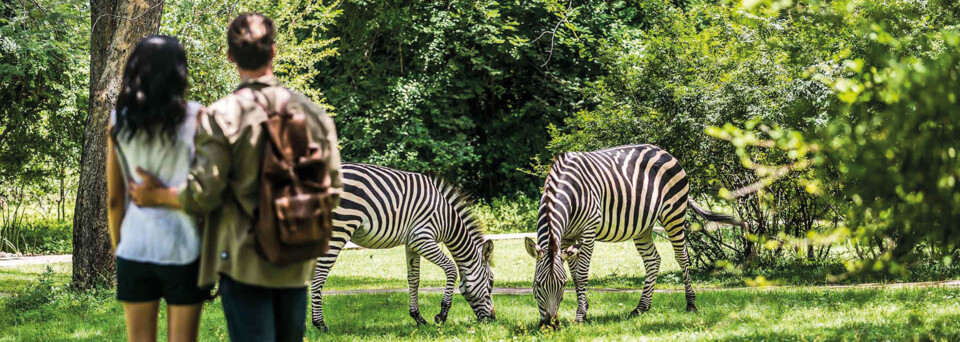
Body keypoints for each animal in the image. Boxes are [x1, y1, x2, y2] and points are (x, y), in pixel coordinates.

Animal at [314, 163, 496, 332]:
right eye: (491, 282)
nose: (493, 319)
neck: (448, 221)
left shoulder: (412, 244)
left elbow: (414, 278)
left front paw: (418, 318)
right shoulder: (422, 239)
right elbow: (451, 268)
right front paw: (442, 315)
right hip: (340, 226)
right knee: (320, 273)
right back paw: (320, 325)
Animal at [524, 144, 744, 326]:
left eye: (561, 286)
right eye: (537, 284)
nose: (549, 325)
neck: (567, 189)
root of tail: (664, 151)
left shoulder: (588, 230)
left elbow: (582, 274)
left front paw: (580, 316)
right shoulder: (568, 237)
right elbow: (576, 276)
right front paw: (584, 309)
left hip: (674, 213)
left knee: (682, 258)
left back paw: (690, 304)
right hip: (643, 226)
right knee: (653, 260)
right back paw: (640, 308)